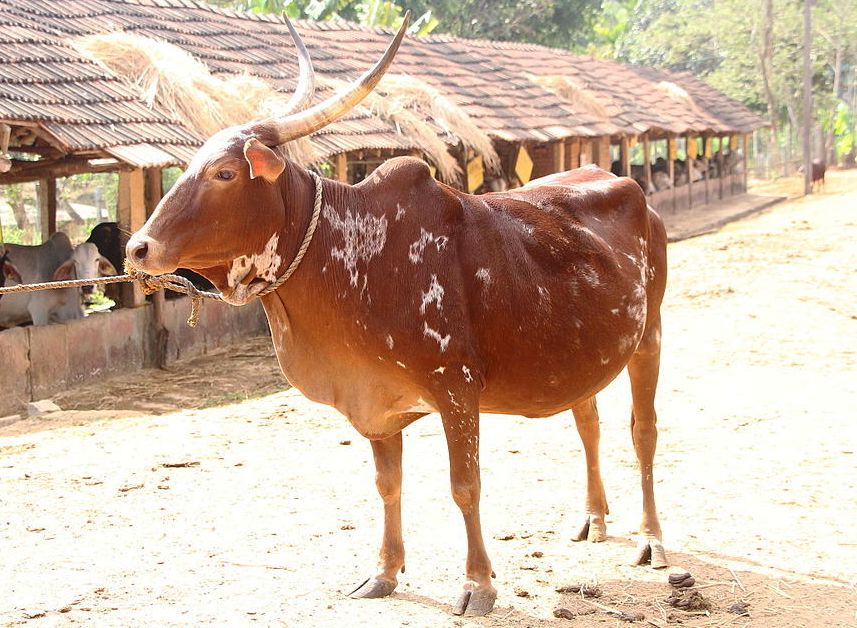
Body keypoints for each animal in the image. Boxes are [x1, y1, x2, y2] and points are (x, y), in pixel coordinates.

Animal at [125, 15, 668, 620]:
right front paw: (384, 572)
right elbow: (388, 485)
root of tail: (621, 181)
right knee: (588, 423)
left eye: (223, 173)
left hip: (649, 337)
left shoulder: (456, 389)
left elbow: (465, 486)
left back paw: (652, 540)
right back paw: (595, 518)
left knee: (643, 431)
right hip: (584, 355)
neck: (350, 253)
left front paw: (478, 584)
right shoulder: (376, 402)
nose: (139, 247)